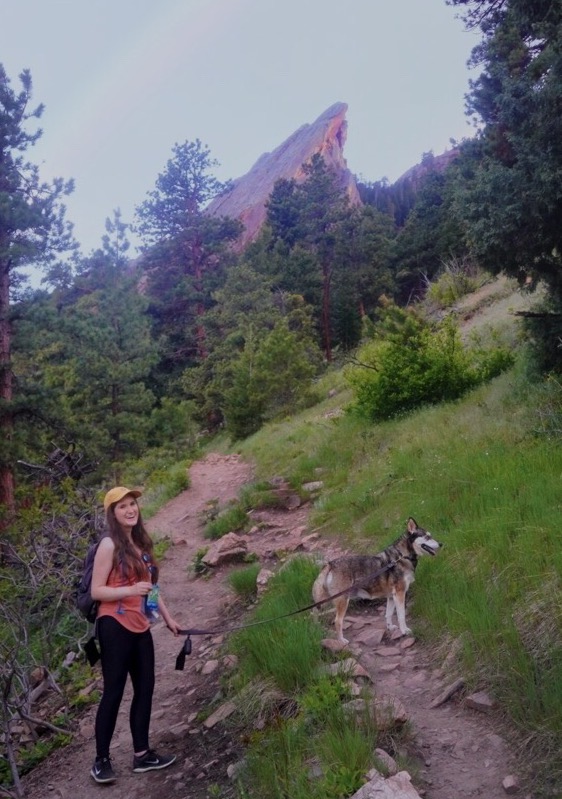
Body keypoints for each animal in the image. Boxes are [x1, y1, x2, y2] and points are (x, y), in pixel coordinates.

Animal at [308, 520, 440, 644]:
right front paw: (404, 631)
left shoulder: (391, 596)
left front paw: (390, 627)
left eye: (430, 536)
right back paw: (341, 640)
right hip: (342, 601)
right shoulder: (400, 593)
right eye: (427, 537)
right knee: (337, 621)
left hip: (324, 600)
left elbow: (388, 614)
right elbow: (401, 615)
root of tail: (330, 564)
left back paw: (316, 628)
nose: (441, 544)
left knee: (314, 611)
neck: (401, 557)